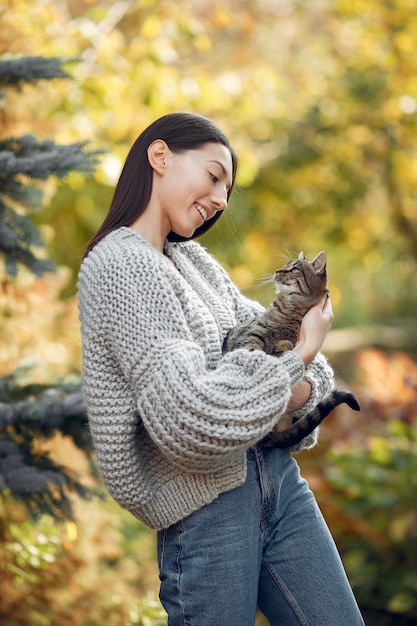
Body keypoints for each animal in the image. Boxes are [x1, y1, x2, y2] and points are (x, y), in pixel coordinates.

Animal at [223, 251, 360, 446]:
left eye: (294, 268)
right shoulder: (253, 333)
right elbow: (251, 349)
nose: (277, 270)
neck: (293, 309)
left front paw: (282, 346)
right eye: (285, 265)